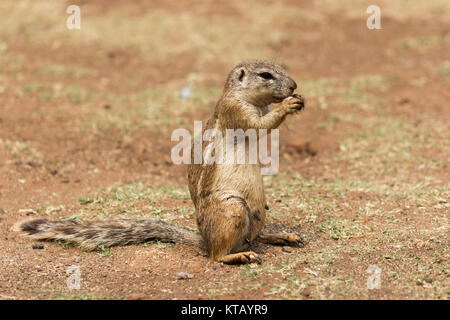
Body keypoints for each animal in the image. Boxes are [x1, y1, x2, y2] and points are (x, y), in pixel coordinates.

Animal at [14, 60, 310, 264]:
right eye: (266, 75)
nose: (294, 86)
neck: (249, 98)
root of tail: (203, 239)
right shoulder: (236, 111)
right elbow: (261, 125)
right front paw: (288, 105)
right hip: (232, 210)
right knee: (219, 254)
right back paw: (237, 256)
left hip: (258, 211)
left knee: (255, 237)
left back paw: (282, 236)